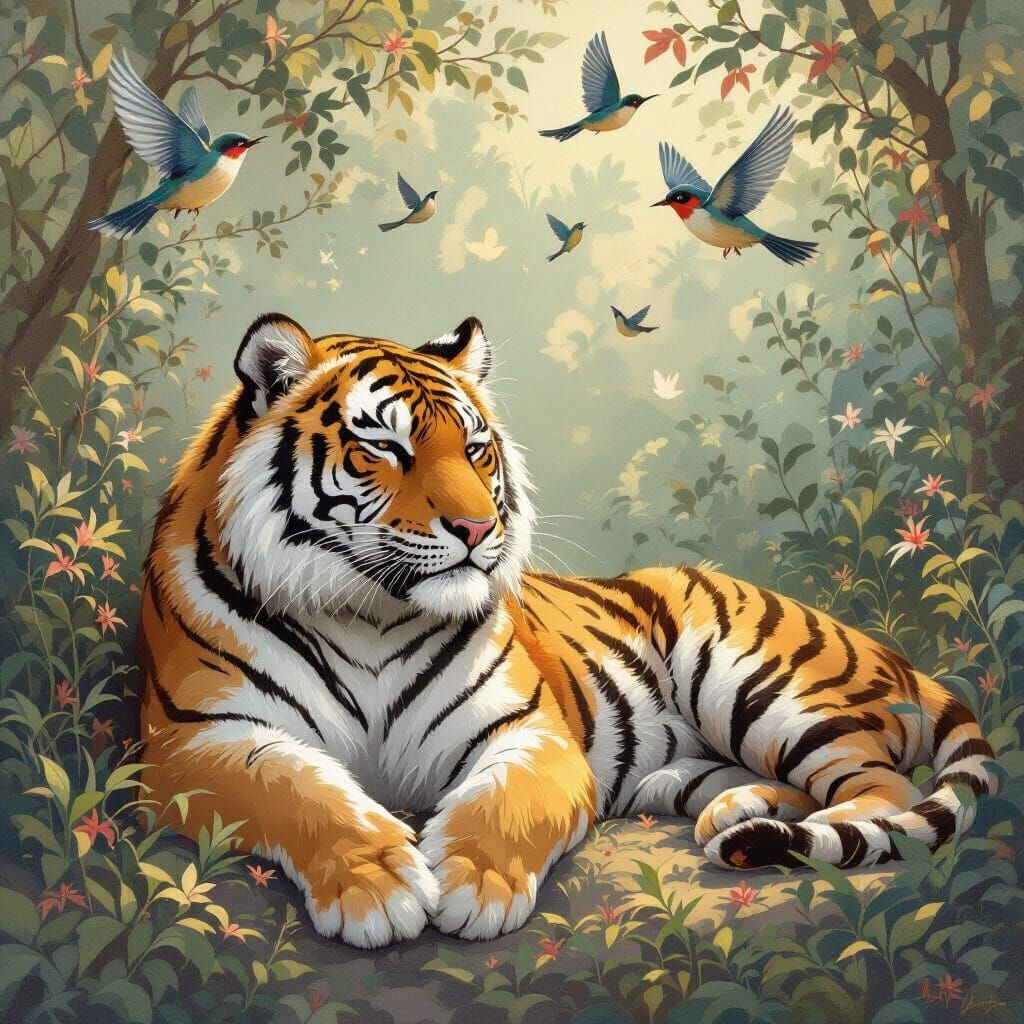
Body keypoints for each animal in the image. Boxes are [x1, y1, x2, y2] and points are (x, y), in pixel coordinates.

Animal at [139, 312, 995, 948]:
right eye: (384, 445)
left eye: (475, 447)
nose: (478, 529)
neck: (371, 610)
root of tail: (888, 650)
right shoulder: (198, 739)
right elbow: (299, 788)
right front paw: (375, 885)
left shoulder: (529, 730)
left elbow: (502, 802)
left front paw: (472, 885)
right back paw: (728, 809)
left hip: (760, 684)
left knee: (883, 790)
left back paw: (774, 826)